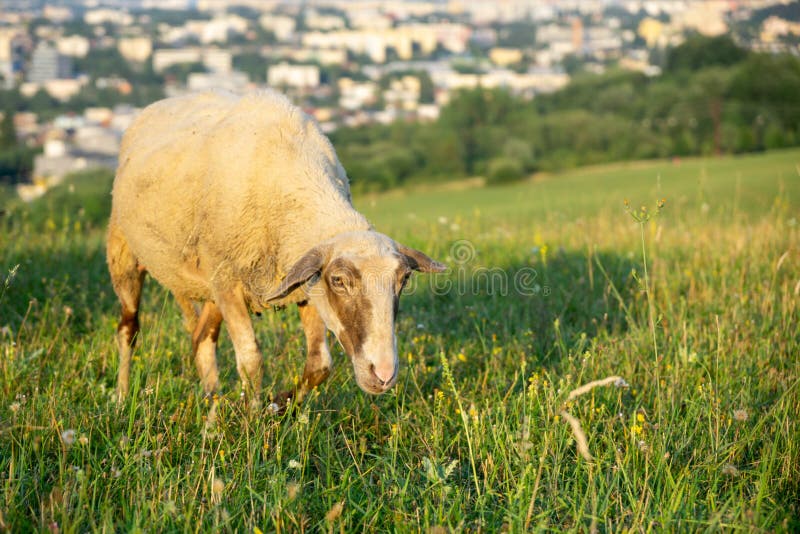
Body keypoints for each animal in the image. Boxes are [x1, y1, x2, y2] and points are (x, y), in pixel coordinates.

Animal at [105, 91, 444, 410]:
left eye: (404, 280)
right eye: (338, 280)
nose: (383, 374)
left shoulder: (304, 282)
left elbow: (320, 365)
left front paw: (277, 406)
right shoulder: (229, 282)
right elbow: (251, 360)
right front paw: (252, 417)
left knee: (201, 337)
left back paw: (212, 410)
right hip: (125, 253)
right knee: (128, 330)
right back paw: (121, 398)